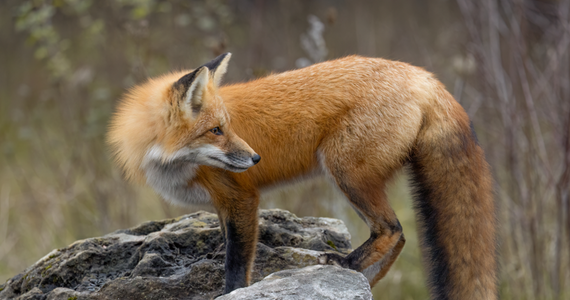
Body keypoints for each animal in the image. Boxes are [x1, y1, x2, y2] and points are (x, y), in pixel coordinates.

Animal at [107, 52, 496, 298]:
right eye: (217, 130)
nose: (255, 158)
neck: (169, 163)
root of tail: (424, 76)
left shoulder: (241, 197)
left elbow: (236, 265)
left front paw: (231, 291)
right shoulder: (224, 205)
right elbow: (230, 246)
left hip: (345, 171)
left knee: (392, 229)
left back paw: (345, 262)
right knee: (398, 238)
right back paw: (362, 277)